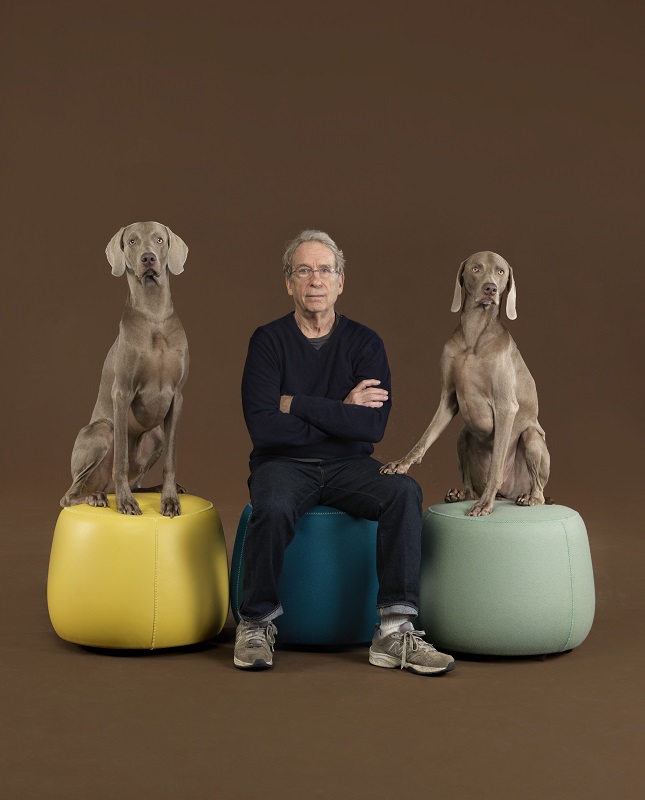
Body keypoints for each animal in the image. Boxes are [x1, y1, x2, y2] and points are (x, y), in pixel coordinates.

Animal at [59, 220, 191, 520]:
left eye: (159, 239)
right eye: (132, 241)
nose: (148, 258)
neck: (154, 315)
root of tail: (103, 486)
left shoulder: (177, 396)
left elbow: (171, 461)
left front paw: (169, 499)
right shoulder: (122, 392)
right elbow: (120, 459)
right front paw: (125, 502)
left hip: (156, 436)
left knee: (137, 481)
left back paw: (154, 489)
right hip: (100, 432)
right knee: (71, 494)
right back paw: (97, 497)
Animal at [380, 252, 552, 520]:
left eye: (501, 272)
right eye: (475, 268)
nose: (490, 289)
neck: (475, 334)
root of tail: (507, 495)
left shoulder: (506, 406)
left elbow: (496, 464)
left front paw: (484, 504)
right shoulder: (448, 397)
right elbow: (425, 437)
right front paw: (402, 463)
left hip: (532, 438)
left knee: (538, 488)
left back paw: (528, 497)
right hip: (463, 435)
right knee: (469, 477)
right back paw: (460, 494)